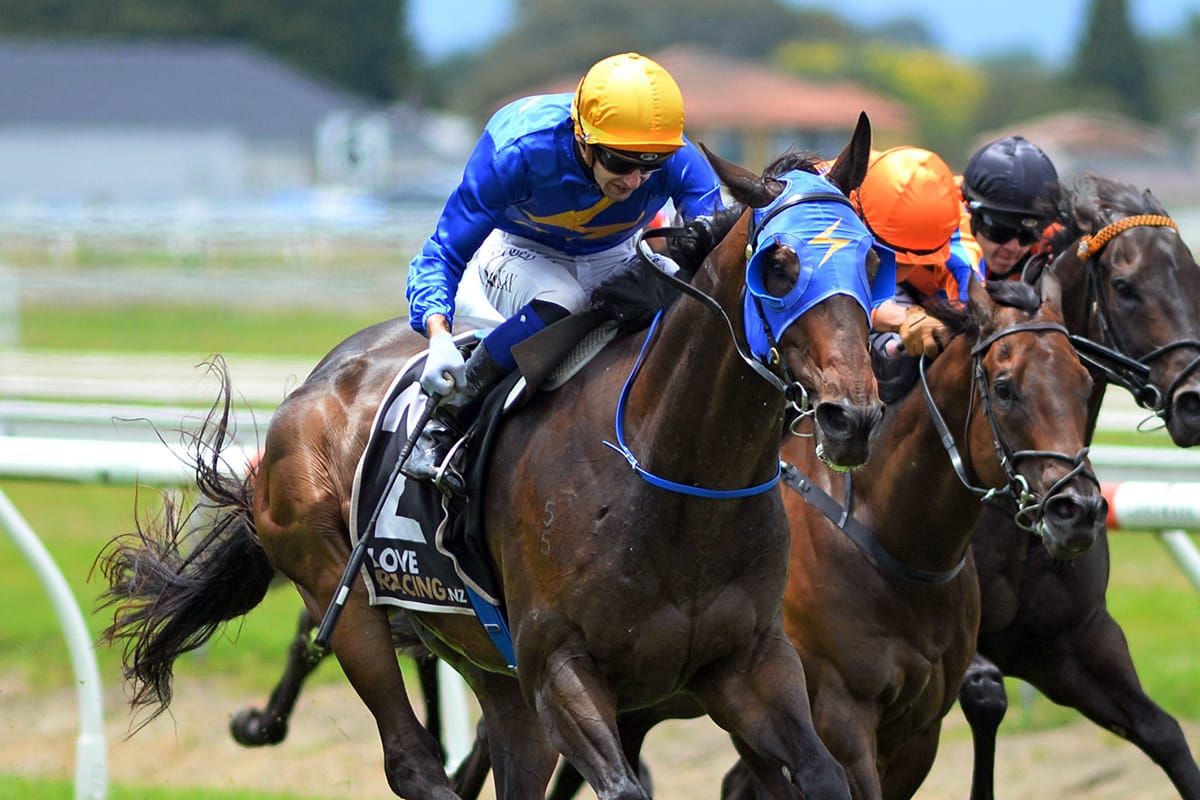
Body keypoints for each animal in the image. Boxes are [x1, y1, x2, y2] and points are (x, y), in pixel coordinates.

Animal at [97, 114, 886, 800]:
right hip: (342, 600)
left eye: (874, 258)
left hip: (486, 661)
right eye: (778, 264)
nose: (852, 414)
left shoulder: (749, 664)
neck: (677, 478)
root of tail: (312, 385)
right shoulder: (561, 668)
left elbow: (824, 776)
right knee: (411, 760)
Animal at [959, 175, 1200, 799]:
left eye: (1194, 276)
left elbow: (1165, 734)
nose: (1197, 401)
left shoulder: (1070, 643)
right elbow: (984, 698)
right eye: (1124, 286)